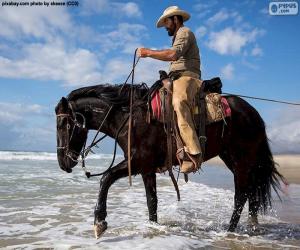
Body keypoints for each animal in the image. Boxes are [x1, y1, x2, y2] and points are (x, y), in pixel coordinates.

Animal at [55, 83, 282, 238]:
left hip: (242, 160)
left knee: (240, 196)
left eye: (63, 125)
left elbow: (106, 179)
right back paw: (252, 226)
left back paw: (230, 230)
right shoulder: (146, 168)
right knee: (251, 192)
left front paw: (99, 222)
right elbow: (151, 201)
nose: (63, 163)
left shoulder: (136, 162)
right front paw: (153, 227)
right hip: (235, 160)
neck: (130, 118)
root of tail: (253, 113)